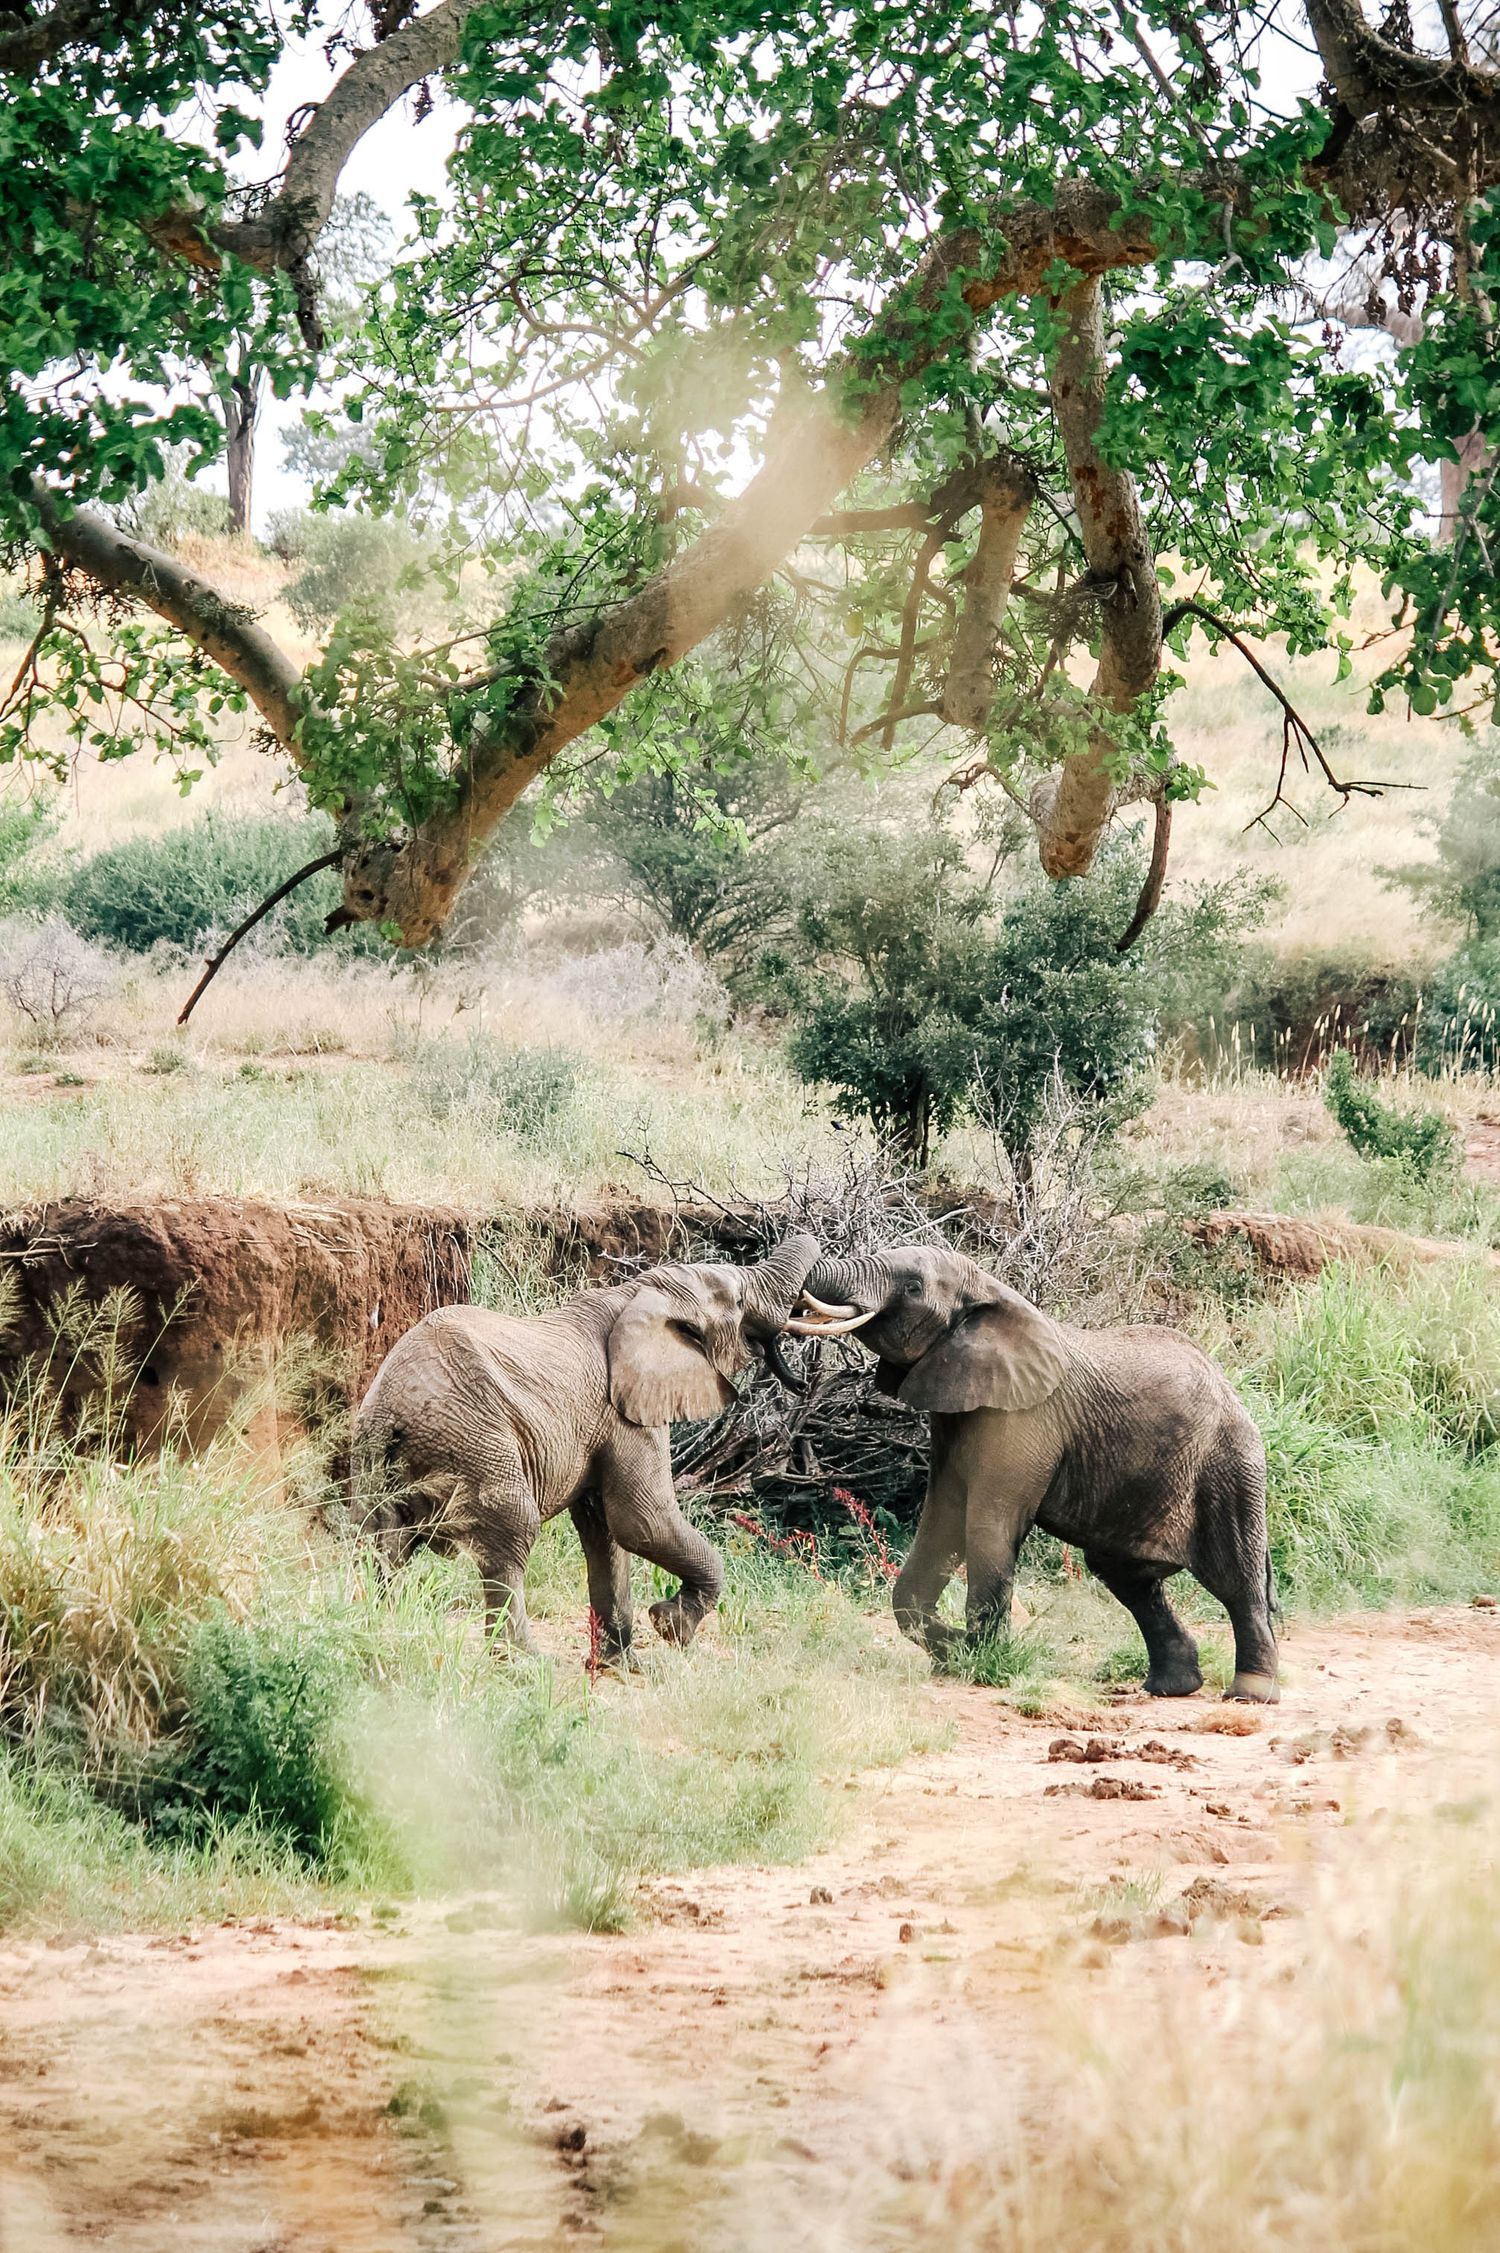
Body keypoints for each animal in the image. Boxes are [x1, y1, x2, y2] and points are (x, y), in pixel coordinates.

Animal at [353, 1234, 819, 1661]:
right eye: (739, 1300)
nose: (802, 1384)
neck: (638, 1292)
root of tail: (392, 1408)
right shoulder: (625, 1413)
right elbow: (642, 1522)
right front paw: (671, 1625)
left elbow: (604, 1529)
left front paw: (621, 1666)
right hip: (474, 1441)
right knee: (509, 1538)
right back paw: (524, 1663)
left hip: (375, 1455)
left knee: (380, 1542)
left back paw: (382, 1633)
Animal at [788, 1245, 1278, 1702]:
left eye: (912, 1287)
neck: (988, 1291)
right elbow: (941, 1522)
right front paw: (956, 1653)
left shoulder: (1022, 1417)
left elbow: (986, 1525)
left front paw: (980, 1661)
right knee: (1126, 1575)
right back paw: (1172, 1686)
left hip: (1229, 1465)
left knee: (1235, 1579)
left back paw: (1249, 1693)